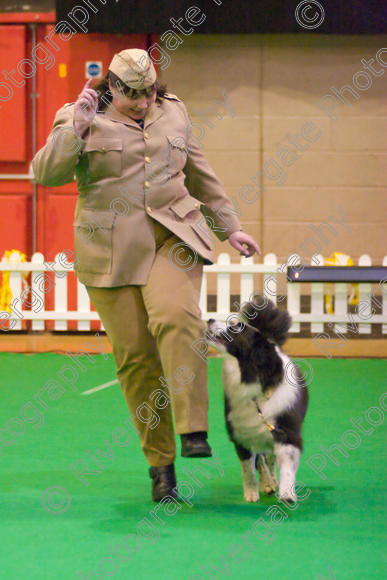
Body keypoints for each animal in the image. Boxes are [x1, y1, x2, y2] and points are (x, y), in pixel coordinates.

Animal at [208, 296, 310, 500]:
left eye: (236, 327)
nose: (210, 319)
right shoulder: (240, 432)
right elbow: (248, 467)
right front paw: (251, 492)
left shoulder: (286, 430)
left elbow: (286, 464)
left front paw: (287, 494)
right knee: (261, 458)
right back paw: (267, 483)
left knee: (269, 457)